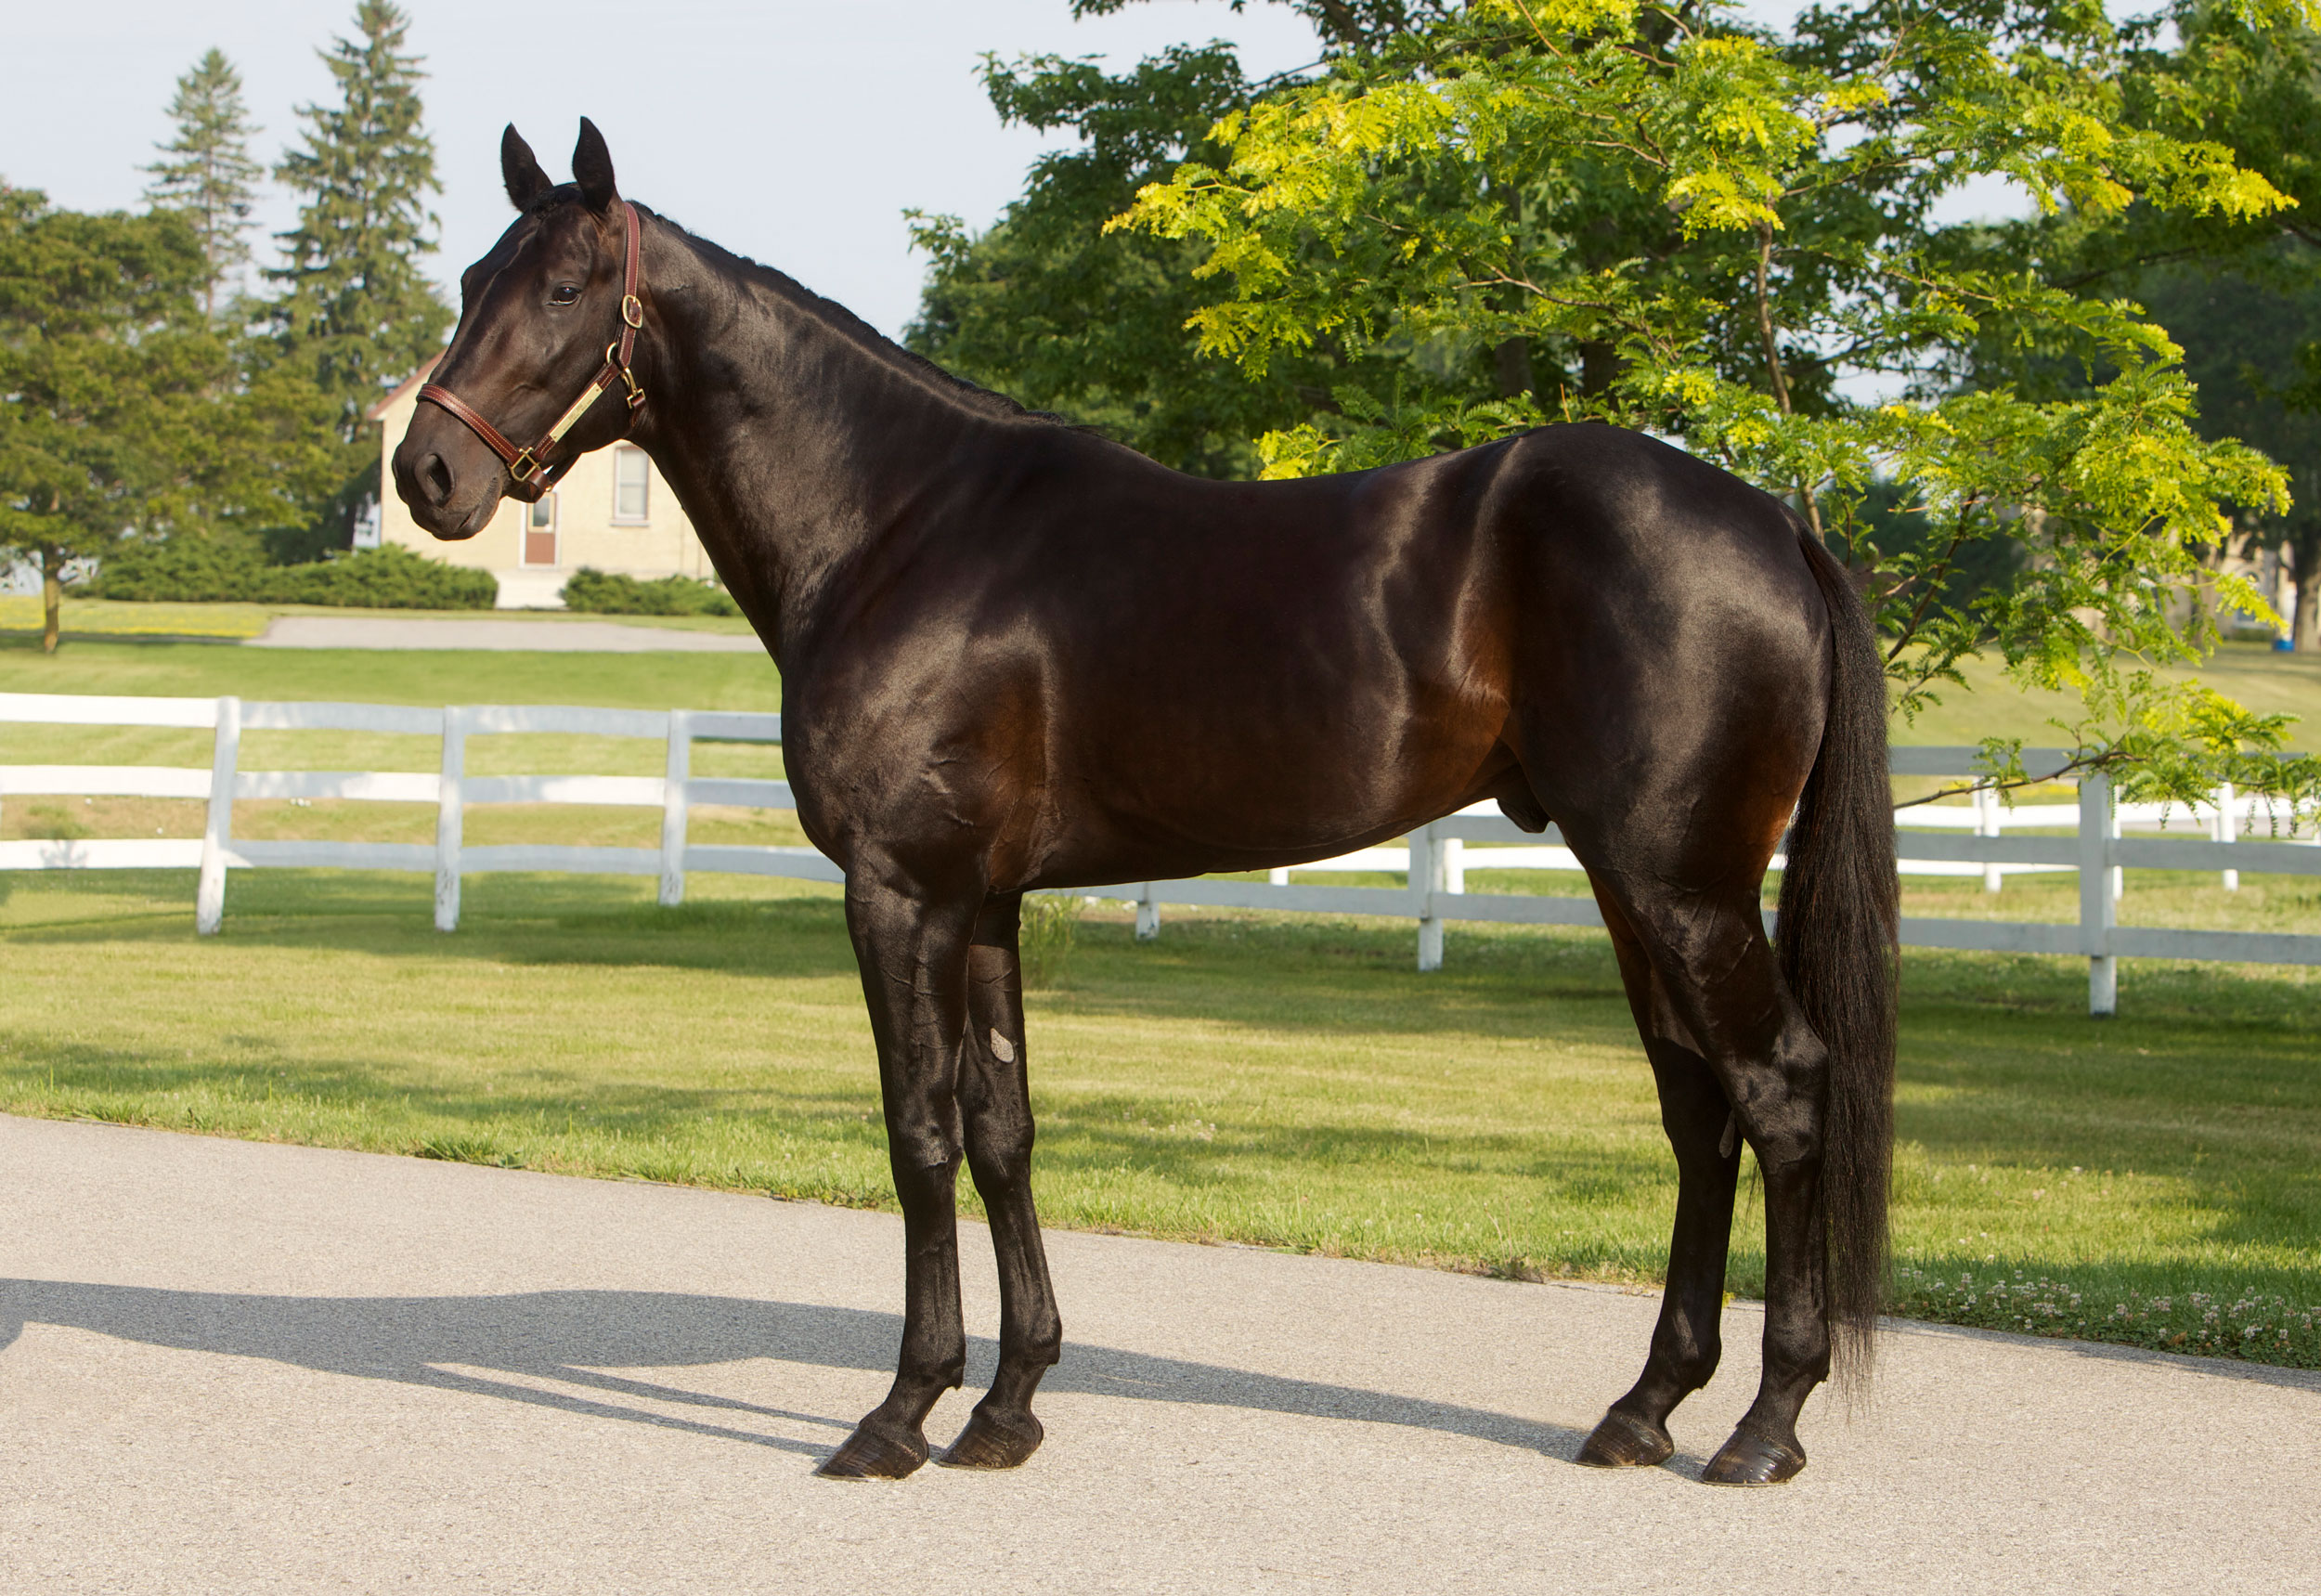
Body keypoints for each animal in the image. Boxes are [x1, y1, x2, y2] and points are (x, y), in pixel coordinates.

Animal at [394, 120, 1898, 1487]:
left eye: (566, 289)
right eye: (472, 276)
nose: (427, 476)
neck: (901, 526)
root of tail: (1776, 523)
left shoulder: (898, 890)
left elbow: (917, 1134)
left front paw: (899, 1414)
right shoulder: (983, 900)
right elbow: (1001, 1131)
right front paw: (1007, 1407)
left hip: (1682, 886)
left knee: (1782, 1093)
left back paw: (1765, 1428)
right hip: (1635, 888)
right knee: (1699, 1113)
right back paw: (1644, 1408)